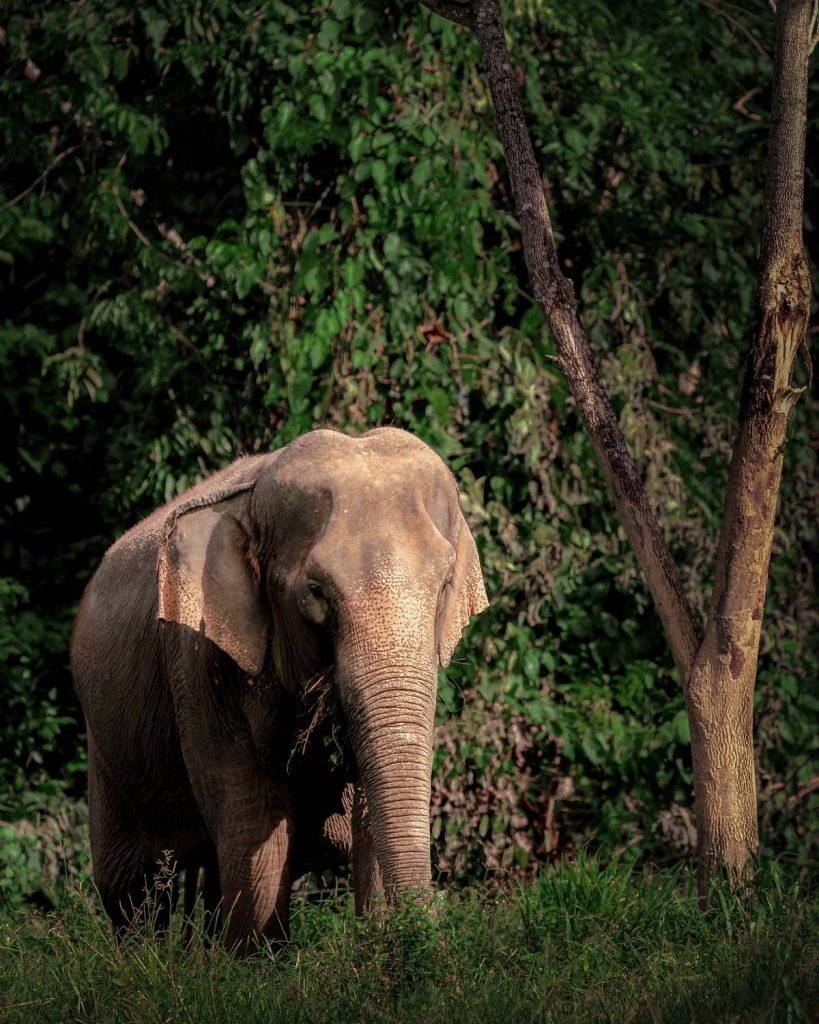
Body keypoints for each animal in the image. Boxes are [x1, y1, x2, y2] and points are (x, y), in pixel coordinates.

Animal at [72, 428, 487, 946]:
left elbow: (368, 816)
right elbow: (254, 819)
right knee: (132, 893)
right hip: (104, 752)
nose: (425, 930)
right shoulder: (196, 657)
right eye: (316, 592)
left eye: (446, 584)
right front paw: (260, 961)